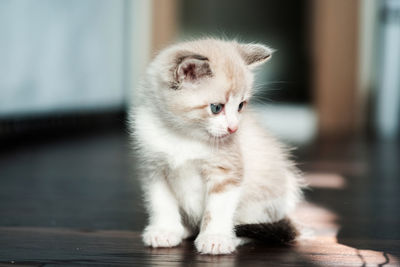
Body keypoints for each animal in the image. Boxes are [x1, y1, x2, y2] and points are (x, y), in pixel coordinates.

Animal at [130, 37, 304, 255]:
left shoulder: (226, 173)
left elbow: (217, 209)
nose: (233, 128)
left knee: (255, 226)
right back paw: (185, 229)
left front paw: (215, 238)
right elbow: (161, 203)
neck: (182, 135)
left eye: (240, 106)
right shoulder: (154, 170)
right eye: (216, 108)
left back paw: (233, 237)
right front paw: (164, 231)